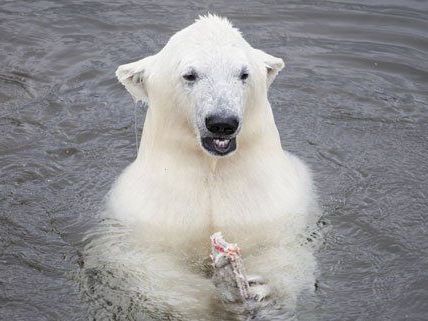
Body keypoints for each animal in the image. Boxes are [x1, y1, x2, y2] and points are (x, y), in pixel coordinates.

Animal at [108, 13, 320, 318]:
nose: (222, 122)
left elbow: (287, 249)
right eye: (190, 74)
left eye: (243, 74)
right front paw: (225, 292)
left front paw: (256, 289)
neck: (213, 167)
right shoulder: (143, 213)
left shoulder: (279, 204)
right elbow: (148, 267)